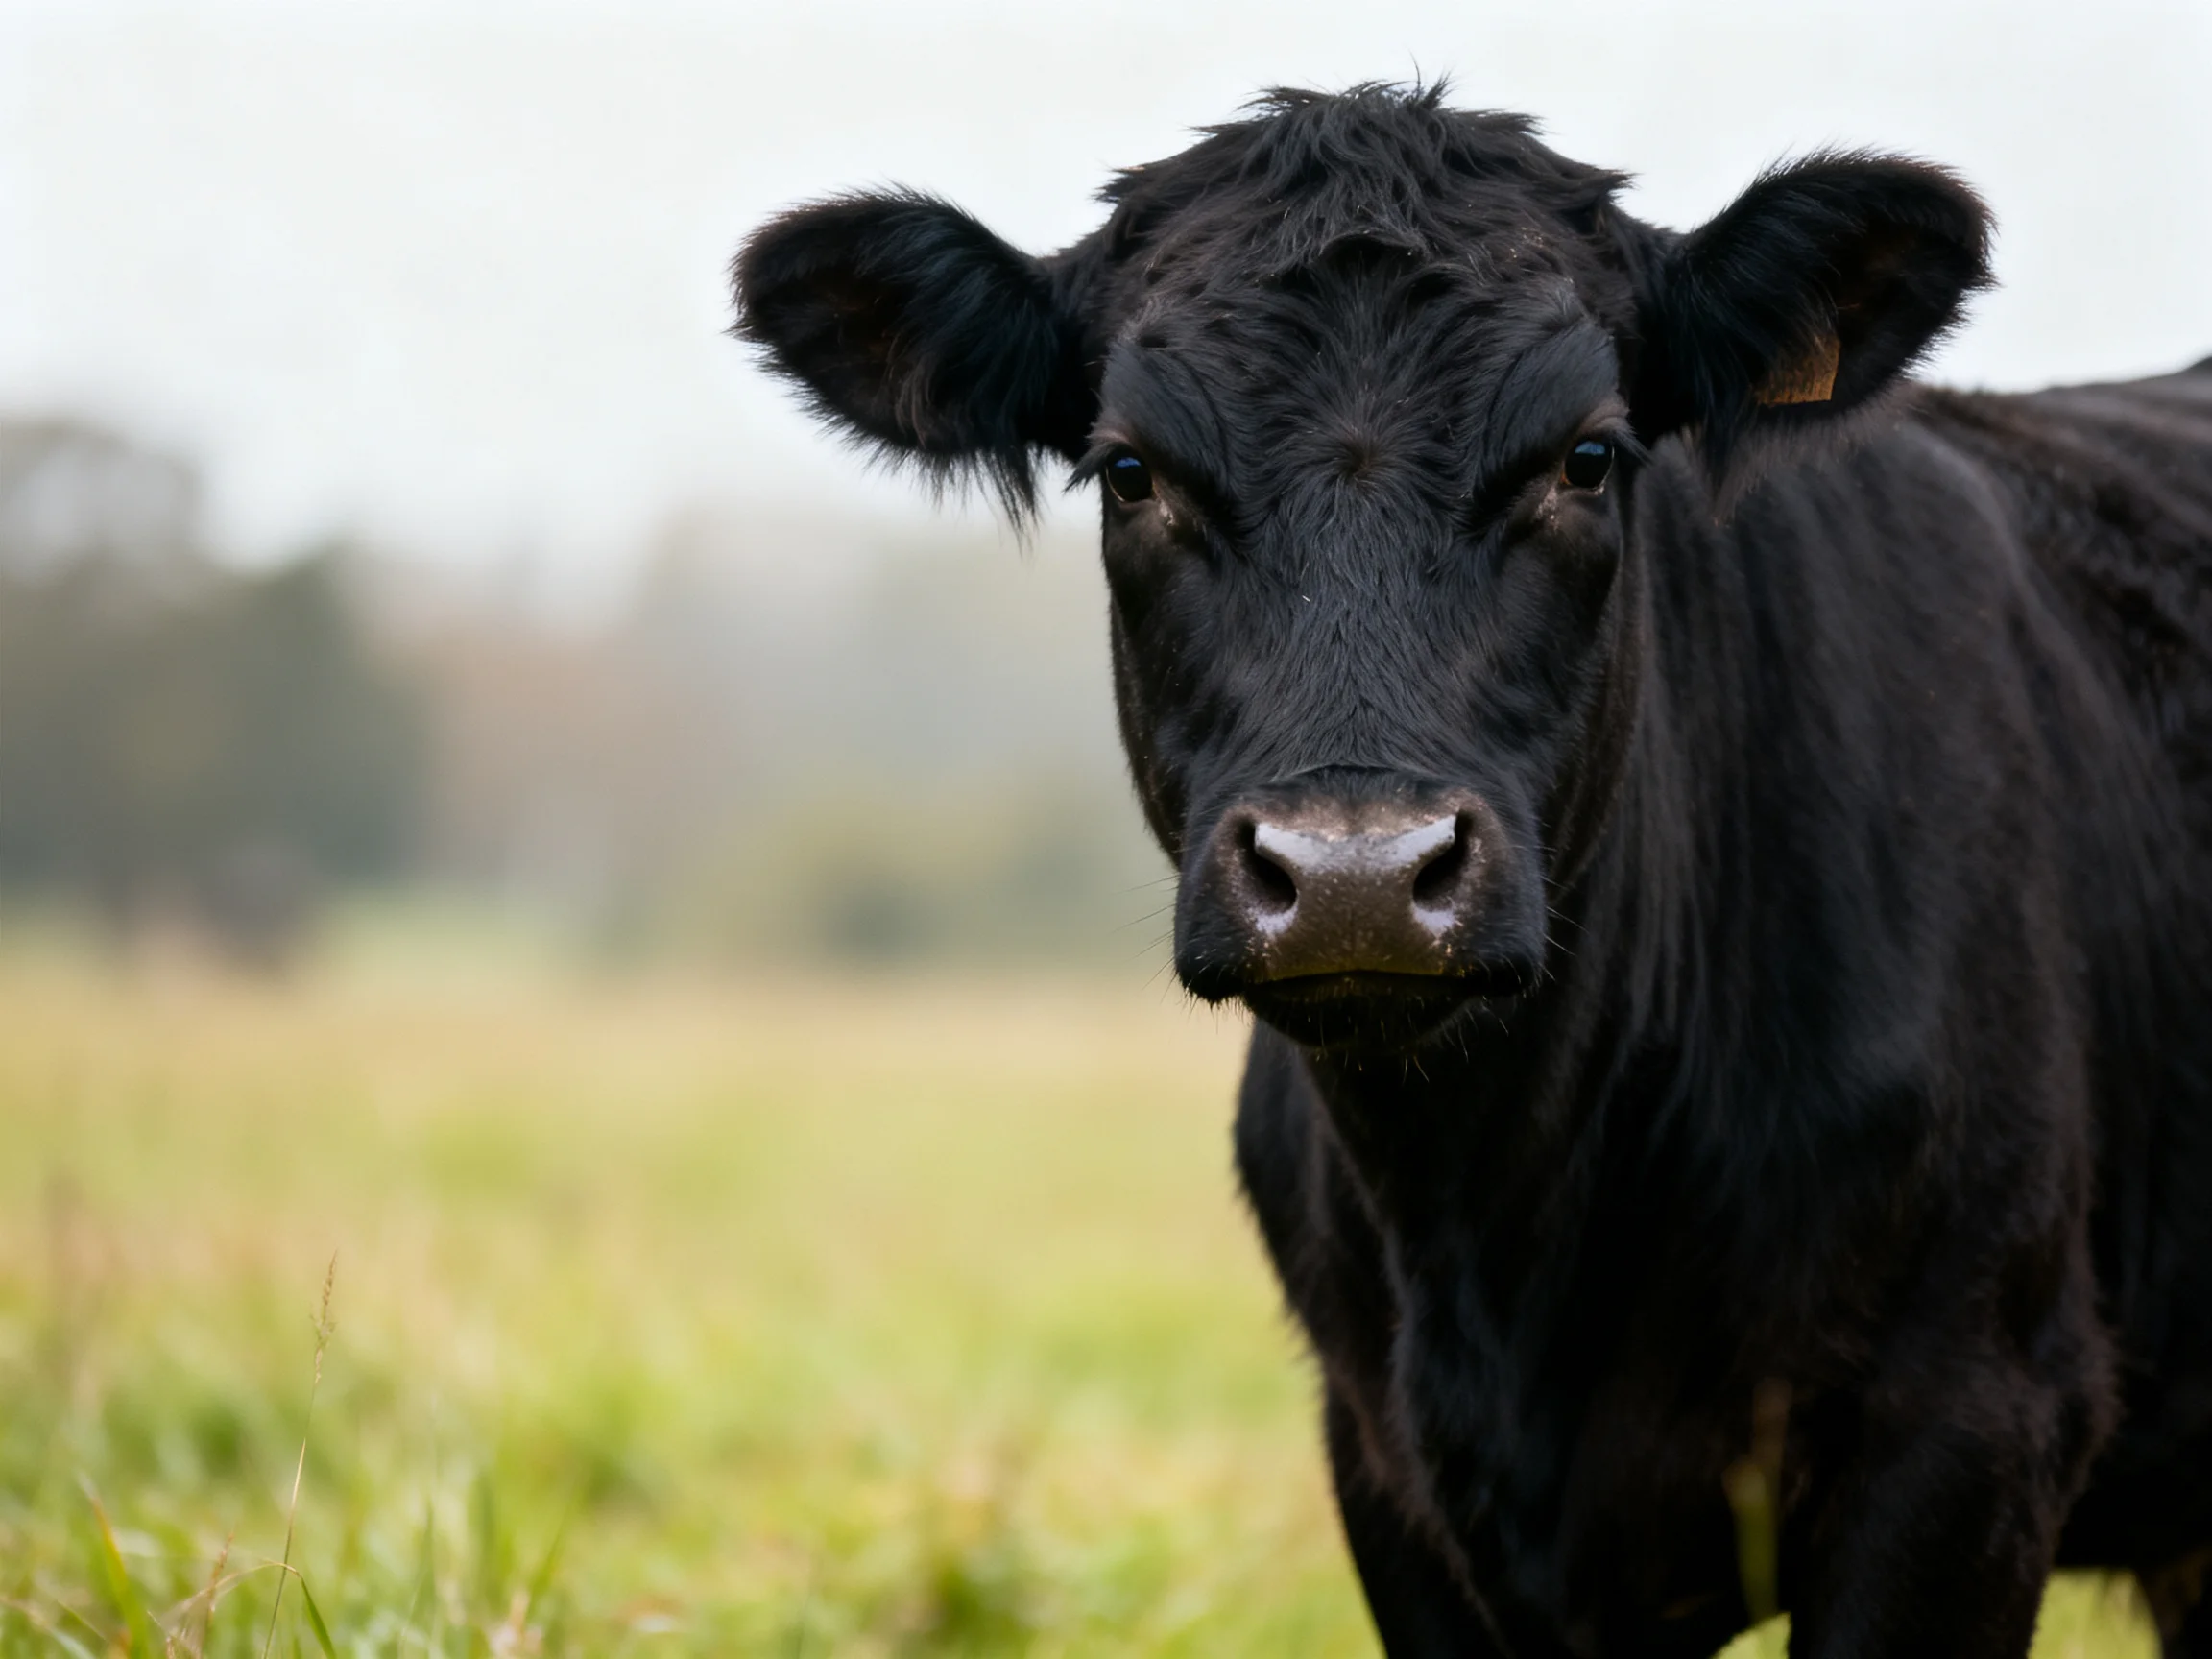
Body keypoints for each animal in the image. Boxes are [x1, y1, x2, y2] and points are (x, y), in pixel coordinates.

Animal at [732, 83, 2212, 1659]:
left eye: (1588, 457)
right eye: (1131, 471)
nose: (1357, 872)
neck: (1499, 1226)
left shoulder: (1970, 1423)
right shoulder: (1388, 1476)